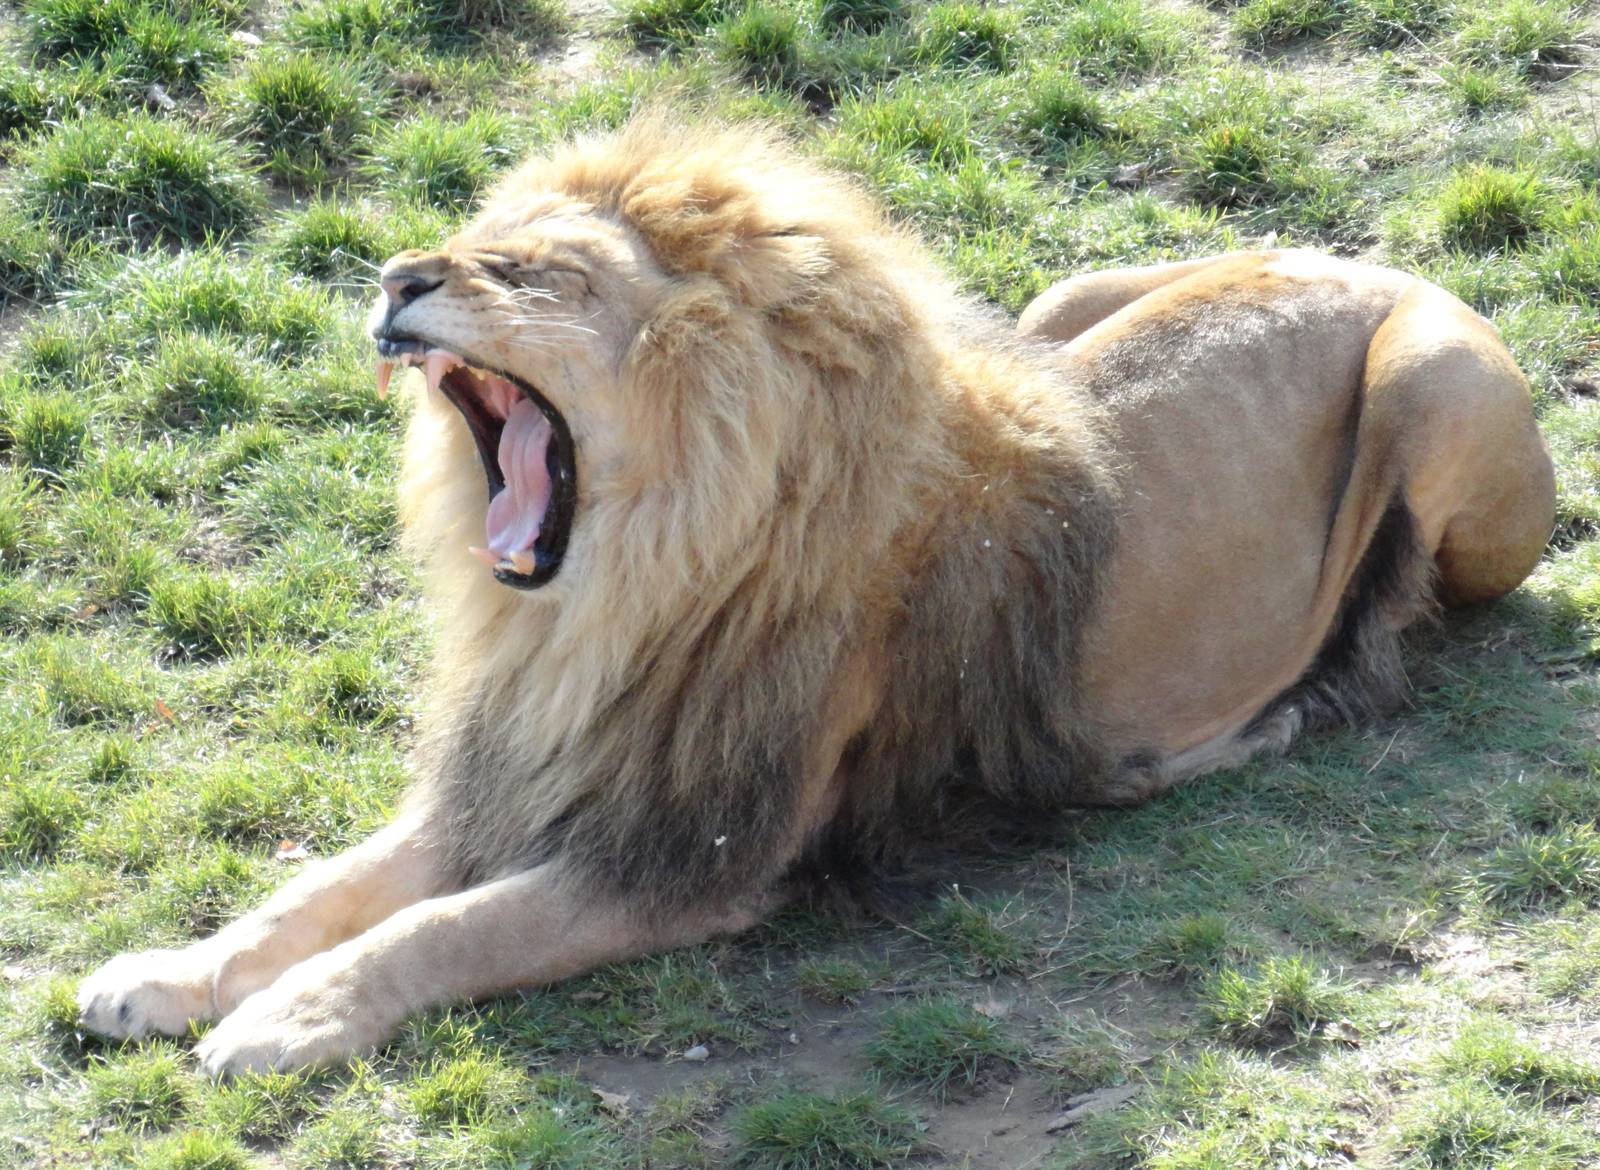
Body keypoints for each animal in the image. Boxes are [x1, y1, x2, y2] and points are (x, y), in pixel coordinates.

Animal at [77, 118, 1554, 1075]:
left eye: (541, 273)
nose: (396, 279)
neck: (603, 599)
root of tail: (1370, 257)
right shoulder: (536, 772)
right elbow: (325, 886)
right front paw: (163, 976)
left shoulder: (698, 852)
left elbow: (449, 926)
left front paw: (281, 1021)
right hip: (1060, 301)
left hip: (1425, 380)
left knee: (1406, 616)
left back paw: (1286, 705)